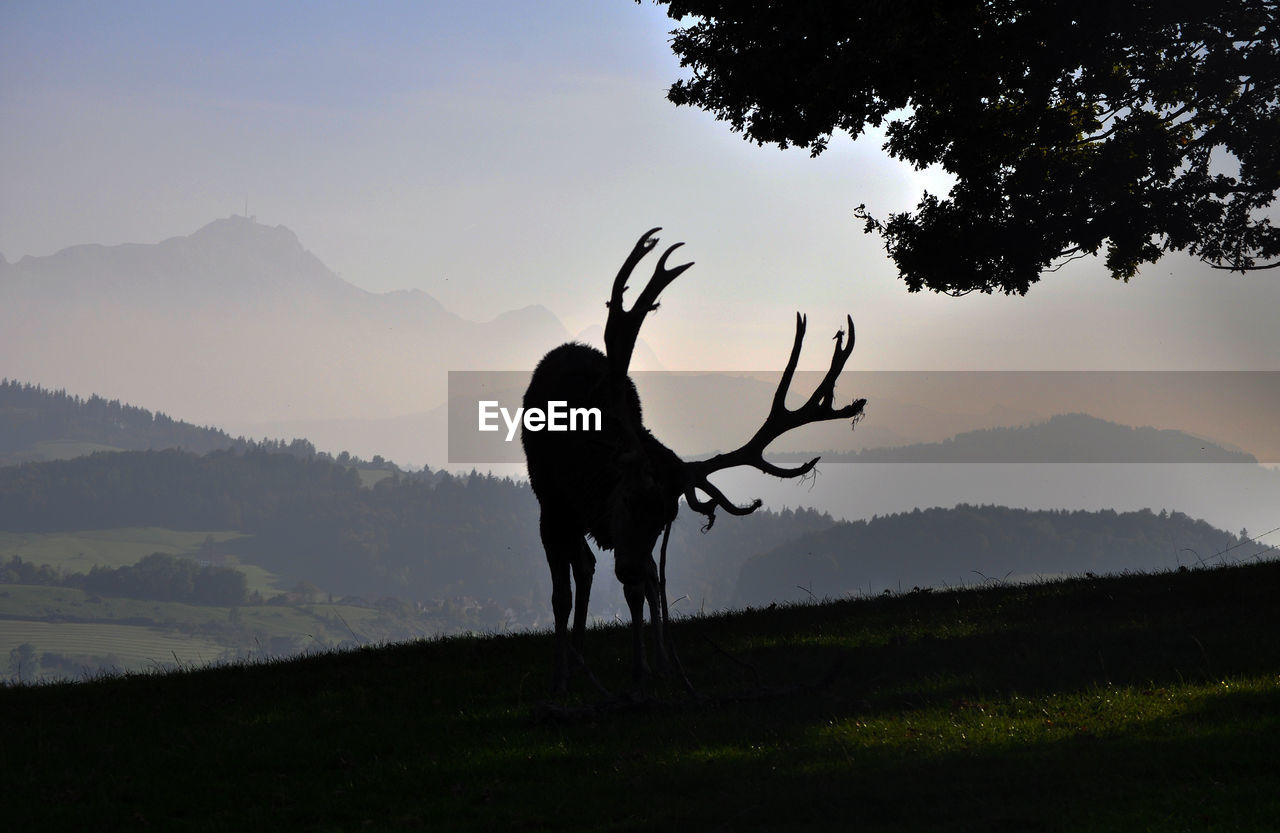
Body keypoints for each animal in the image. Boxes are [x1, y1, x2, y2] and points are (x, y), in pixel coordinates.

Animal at [522, 230, 870, 696]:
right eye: (628, 498)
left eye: (666, 517)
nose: (627, 567)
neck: (586, 469)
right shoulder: (554, 505)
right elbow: (560, 596)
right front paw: (559, 679)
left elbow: (642, 590)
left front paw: (645, 670)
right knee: (587, 570)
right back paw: (578, 663)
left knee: (619, 573)